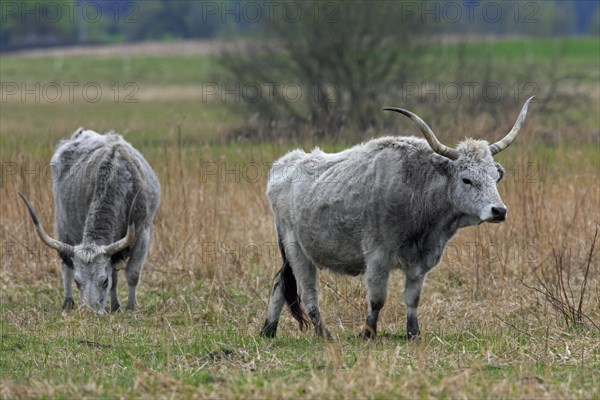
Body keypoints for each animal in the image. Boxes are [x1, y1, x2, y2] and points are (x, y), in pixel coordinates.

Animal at [21, 128, 162, 312]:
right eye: (78, 282)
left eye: (104, 281)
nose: (89, 311)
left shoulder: (142, 234)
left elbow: (132, 274)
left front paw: (130, 306)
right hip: (63, 225)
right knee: (66, 265)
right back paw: (68, 301)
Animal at [262, 97, 536, 340]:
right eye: (467, 179)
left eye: (495, 177)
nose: (499, 211)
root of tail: (285, 163)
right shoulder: (377, 257)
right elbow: (377, 299)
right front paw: (368, 333)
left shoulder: (421, 261)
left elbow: (412, 299)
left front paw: (413, 333)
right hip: (297, 249)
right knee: (307, 292)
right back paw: (323, 333)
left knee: (279, 284)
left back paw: (268, 330)